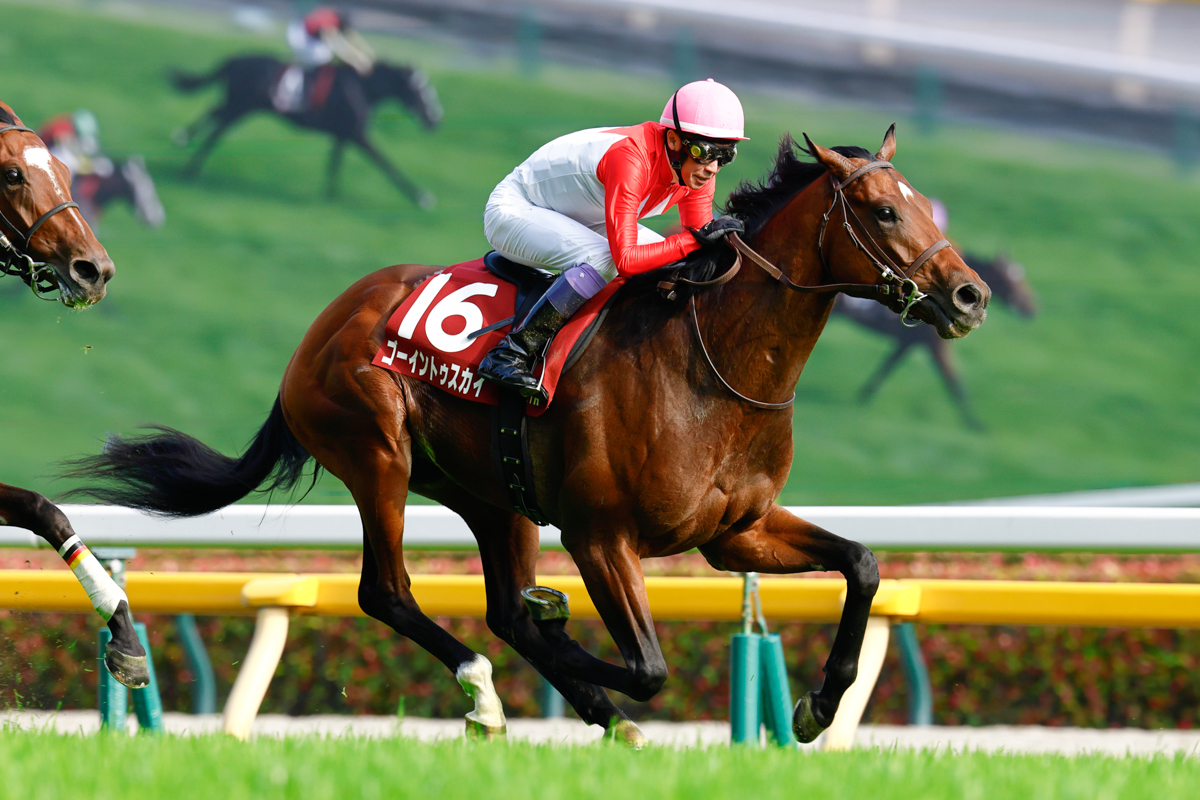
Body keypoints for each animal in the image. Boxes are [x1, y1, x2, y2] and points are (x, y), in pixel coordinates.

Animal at [67, 125, 988, 744]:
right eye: (883, 210)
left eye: (920, 203)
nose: (970, 294)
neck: (711, 363)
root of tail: (324, 324)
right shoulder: (600, 534)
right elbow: (648, 665)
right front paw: (571, 636)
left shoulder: (737, 533)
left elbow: (863, 565)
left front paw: (819, 704)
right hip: (377, 452)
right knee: (389, 594)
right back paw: (490, 691)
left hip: (493, 495)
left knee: (502, 609)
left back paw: (590, 709)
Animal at [170, 56, 442, 207]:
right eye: (421, 91)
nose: (435, 119)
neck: (363, 87)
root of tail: (236, 60)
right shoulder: (357, 135)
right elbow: (387, 165)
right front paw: (422, 197)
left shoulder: (342, 136)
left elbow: (334, 164)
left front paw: (330, 195)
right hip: (241, 106)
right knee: (215, 128)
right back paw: (188, 164)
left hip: (239, 105)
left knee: (214, 115)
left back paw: (183, 145)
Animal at [832, 251, 1035, 430]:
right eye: (1013, 281)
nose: (1032, 306)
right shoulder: (935, 345)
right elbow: (953, 381)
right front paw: (975, 423)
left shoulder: (908, 342)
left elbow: (888, 365)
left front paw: (863, 396)